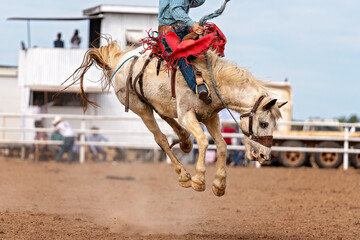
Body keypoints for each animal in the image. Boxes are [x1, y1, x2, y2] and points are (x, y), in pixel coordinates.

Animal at [68, 40, 286, 197]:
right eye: (264, 123)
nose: (265, 156)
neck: (210, 80)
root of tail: (118, 61)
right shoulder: (187, 114)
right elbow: (204, 141)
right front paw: (198, 180)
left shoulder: (210, 117)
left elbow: (222, 145)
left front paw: (219, 184)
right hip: (141, 108)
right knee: (161, 139)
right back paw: (184, 175)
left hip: (157, 103)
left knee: (166, 116)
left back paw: (184, 141)